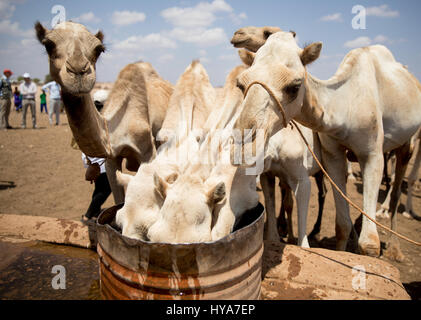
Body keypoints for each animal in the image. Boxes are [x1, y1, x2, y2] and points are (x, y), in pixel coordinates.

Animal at [34, 21, 172, 204]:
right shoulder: (111, 159)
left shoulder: (147, 152)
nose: (79, 71)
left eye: (99, 49)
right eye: (48, 44)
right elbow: (118, 199)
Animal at [231, 30, 420, 260]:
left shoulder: (372, 153)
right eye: (241, 85)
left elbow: (370, 244)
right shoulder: (332, 154)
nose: (244, 144)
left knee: (395, 191)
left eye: (294, 87)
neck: (344, 108)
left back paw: (394, 247)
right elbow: (341, 225)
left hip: (407, 142)